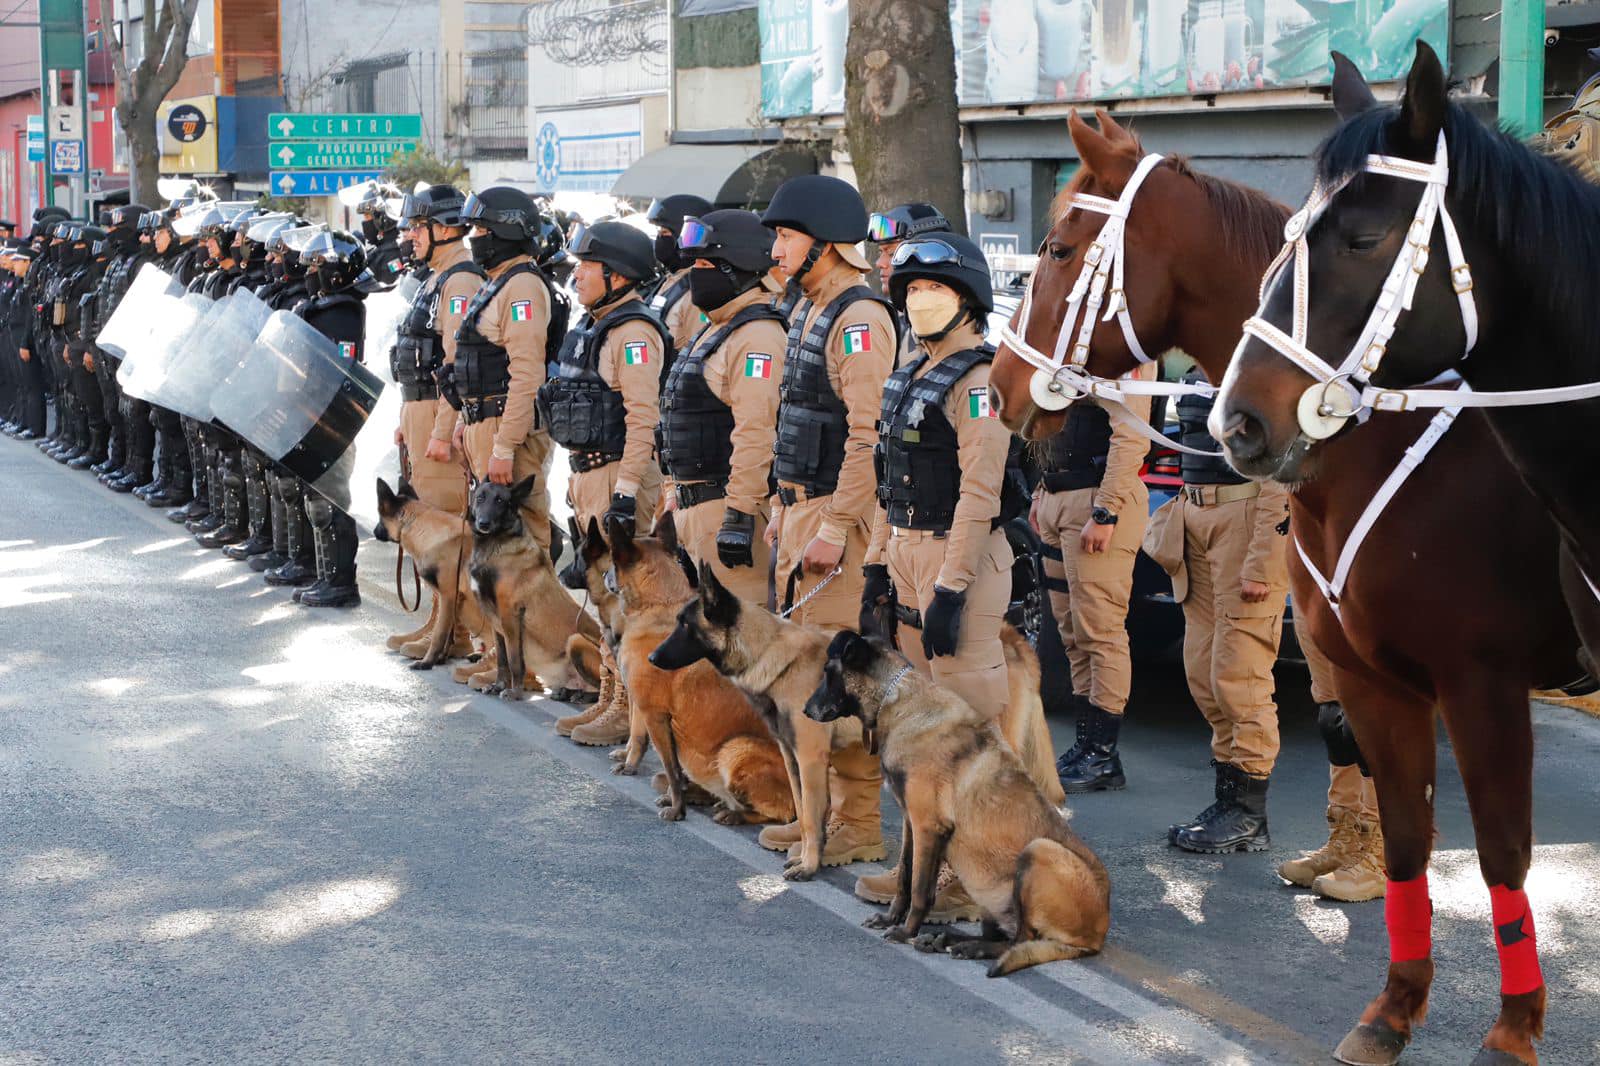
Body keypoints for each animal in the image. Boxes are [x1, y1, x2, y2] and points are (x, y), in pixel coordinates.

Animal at [470, 473, 608, 697]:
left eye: (500, 501)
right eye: (480, 498)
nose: (483, 523)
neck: (496, 545)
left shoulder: (510, 617)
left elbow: (514, 661)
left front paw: (514, 692)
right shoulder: (495, 624)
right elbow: (502, 661)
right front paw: (498, 685)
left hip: (576, 640)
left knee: (605, 689)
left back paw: (579, 695)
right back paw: (567, 692)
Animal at [601, 515, 796, 819]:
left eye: (612, 561)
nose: (602, 576)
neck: (659, 603)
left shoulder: (654, 714)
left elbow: (669, 768)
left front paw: (676, 809)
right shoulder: (643, 707)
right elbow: (640, 739)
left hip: (735, 748)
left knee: (778, 813)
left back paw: (733, 813)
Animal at [652, 563, 1075, 877]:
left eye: (685, 626)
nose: (653, 658)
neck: (772, 653)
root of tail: (1016, 637)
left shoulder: (810, 759)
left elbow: (811, 816)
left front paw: (809, 865)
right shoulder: (791, 757)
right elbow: (804, 811)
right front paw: (804, 852)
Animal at [806, 627, 1107, 973]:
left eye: (828, 673)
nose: (805, 710)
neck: (901, 703)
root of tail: (1097, 936)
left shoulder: (927, 828)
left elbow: (920, 890)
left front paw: (905, 931)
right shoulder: (912, 824)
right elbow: (905, 879)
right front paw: (891, 918)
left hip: (1040, 850)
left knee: (1020, 939)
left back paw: (966, 947)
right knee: (1006, 935)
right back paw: (947, 940)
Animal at [985, 109, 1587, 1062]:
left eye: (1058, 247)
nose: (1000, 384)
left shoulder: (1479, 681)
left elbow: (1499, 848)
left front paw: (1513, 1026)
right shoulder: (1366, 666)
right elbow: (1393, 804)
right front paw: (1389, 994)